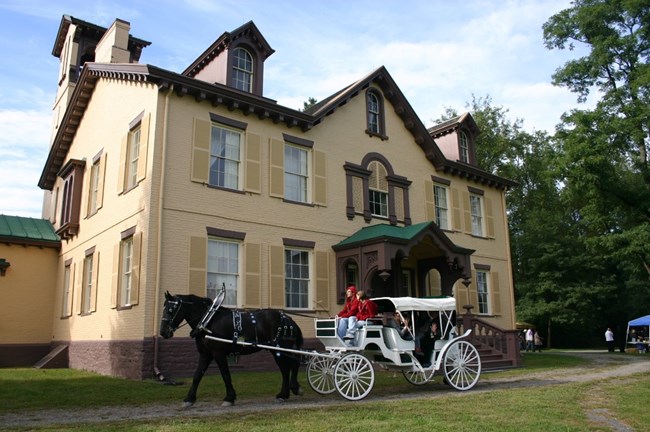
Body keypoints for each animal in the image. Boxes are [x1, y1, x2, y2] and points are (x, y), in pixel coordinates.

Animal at [158, 292, 302, 406]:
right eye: (164, 308)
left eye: (171, 310)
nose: (163, 332)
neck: (208, 320)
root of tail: (290, 320)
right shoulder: (205, 354)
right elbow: (197, 375)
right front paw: (189, 399)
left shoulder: (219, 353)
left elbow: (225, 375)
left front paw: (229, 398)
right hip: (278, 350)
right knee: (289, 367)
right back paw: (286, 392)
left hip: (281, 348)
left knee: (288, 367)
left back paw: (287, 392)